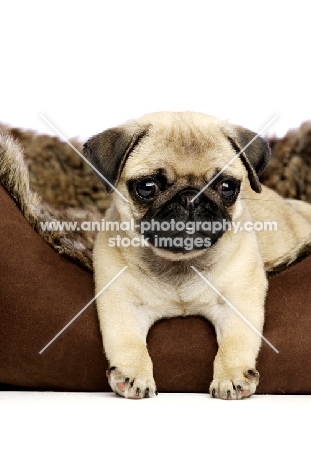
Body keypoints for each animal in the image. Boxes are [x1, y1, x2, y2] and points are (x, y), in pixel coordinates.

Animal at [83, 112, 311, 398]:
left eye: (227, 186)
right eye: (147, 187)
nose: (190, 198)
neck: (180, 264)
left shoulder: (237, 301)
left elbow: (235, 342)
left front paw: (232, 377)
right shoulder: (122, 303)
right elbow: (127, 340)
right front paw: (133, 374)